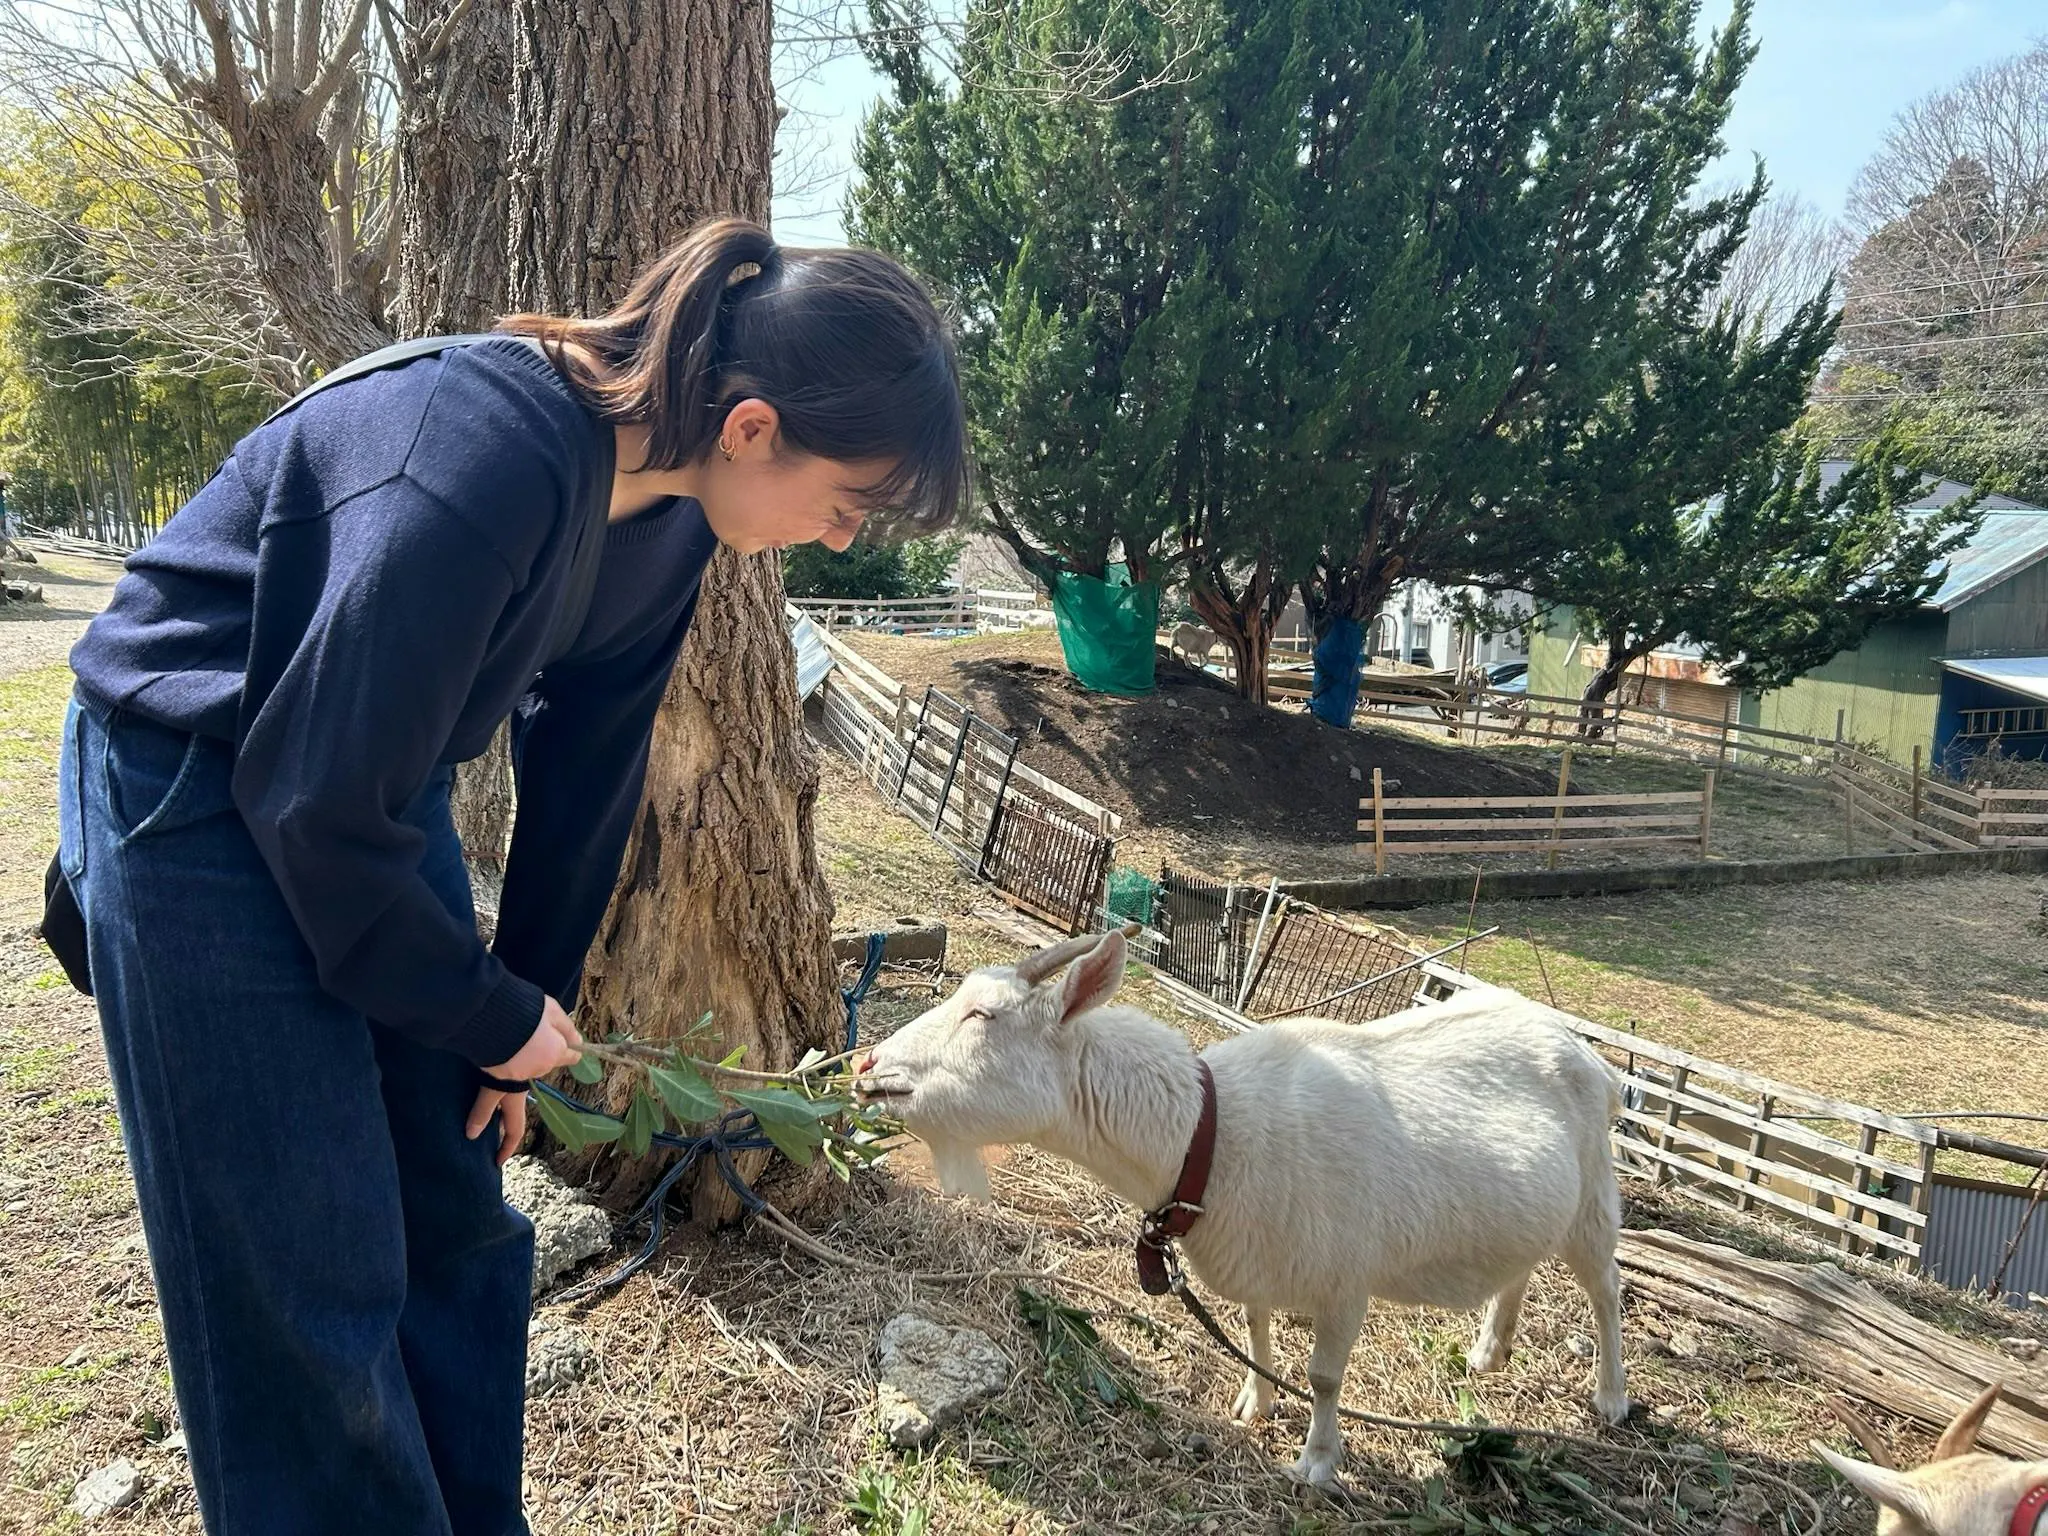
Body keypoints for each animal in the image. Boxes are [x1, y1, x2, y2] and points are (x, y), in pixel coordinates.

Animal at [854, 928, 1629, 1484]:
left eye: (982, 1014)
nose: (865, 1065)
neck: (1210, 1132)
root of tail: (1583, 1048)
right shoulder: (1256, 1250)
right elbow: (1255, 1326)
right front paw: (1255, 1402)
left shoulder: (1348, 1276)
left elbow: (1323, 1375)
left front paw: (1316, 1461)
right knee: (1523, 1262)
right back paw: (1490, 1350)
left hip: (1595, 1193)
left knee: (1604, 1286)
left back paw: (1612, 1398)